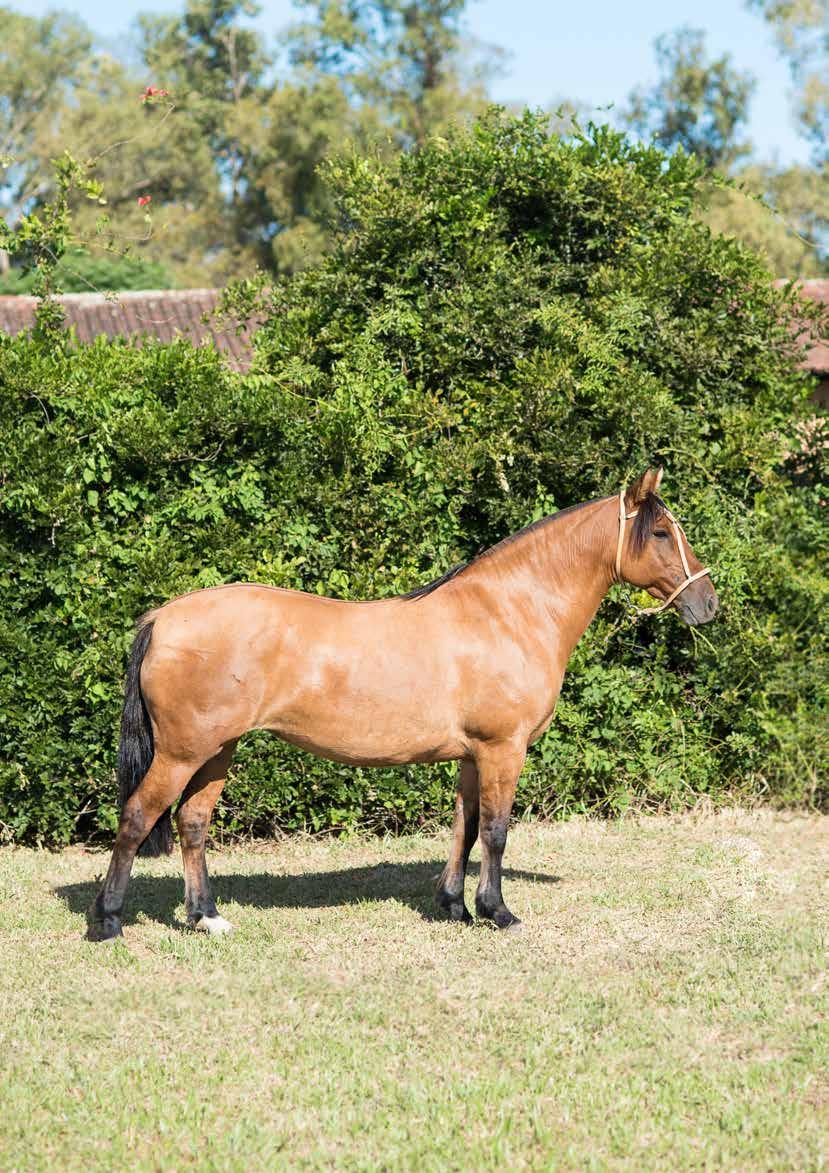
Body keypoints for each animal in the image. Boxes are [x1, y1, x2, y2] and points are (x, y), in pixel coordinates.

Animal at [87, 469, 717, 943]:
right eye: (662, 533)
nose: (708, 603)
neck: (508, 613)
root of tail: (162, 618)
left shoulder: (472, 755)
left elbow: (465, 827)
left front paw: (456, 906)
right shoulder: (503, 749)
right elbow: (495, 831)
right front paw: (499, 912)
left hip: (216, 750)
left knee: (192, 824)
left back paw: (207, 918)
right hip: (182, 752)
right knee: (137, 818)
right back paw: (109, 922)